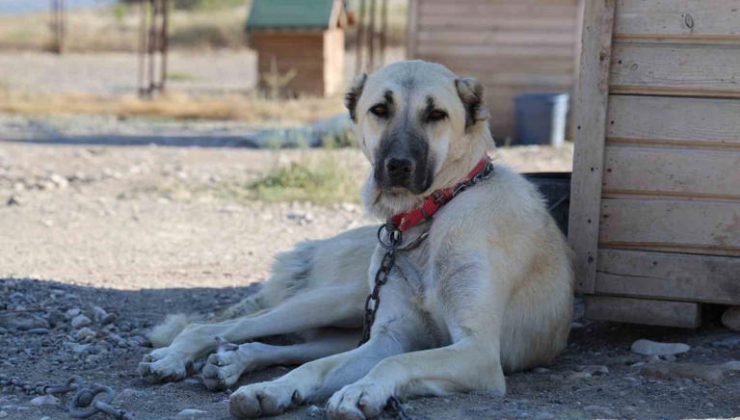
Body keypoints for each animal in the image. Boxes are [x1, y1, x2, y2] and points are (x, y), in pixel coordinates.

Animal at [140, 60, 580, 418]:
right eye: (380, 110)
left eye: (436, 114)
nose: (399, 166)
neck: (429, 216)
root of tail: (314, 245)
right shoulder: (390, 338)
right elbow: (325, 367)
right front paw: (284, 387)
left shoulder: (478, 353)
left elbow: (395, 364)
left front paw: (357, 391)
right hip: (335, 302)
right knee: (221, 327)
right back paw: (177, 359)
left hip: (345, 318)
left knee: (276, 344)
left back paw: (233, 365)